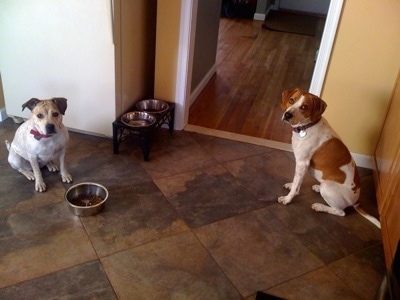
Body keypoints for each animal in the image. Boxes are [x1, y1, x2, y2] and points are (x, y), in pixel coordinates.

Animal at [278, 89, 382, 227]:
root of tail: (356, 201)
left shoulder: (302, 163)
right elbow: (297, 183)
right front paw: (292, 187)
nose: (287, 114)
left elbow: (296, 185)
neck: (308, 126)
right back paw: (317, 188)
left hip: (328, 186)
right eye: (291, 100)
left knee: (340, 212)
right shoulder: (302, 166)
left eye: (304, 107)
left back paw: (319, 206)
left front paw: (287, 199)